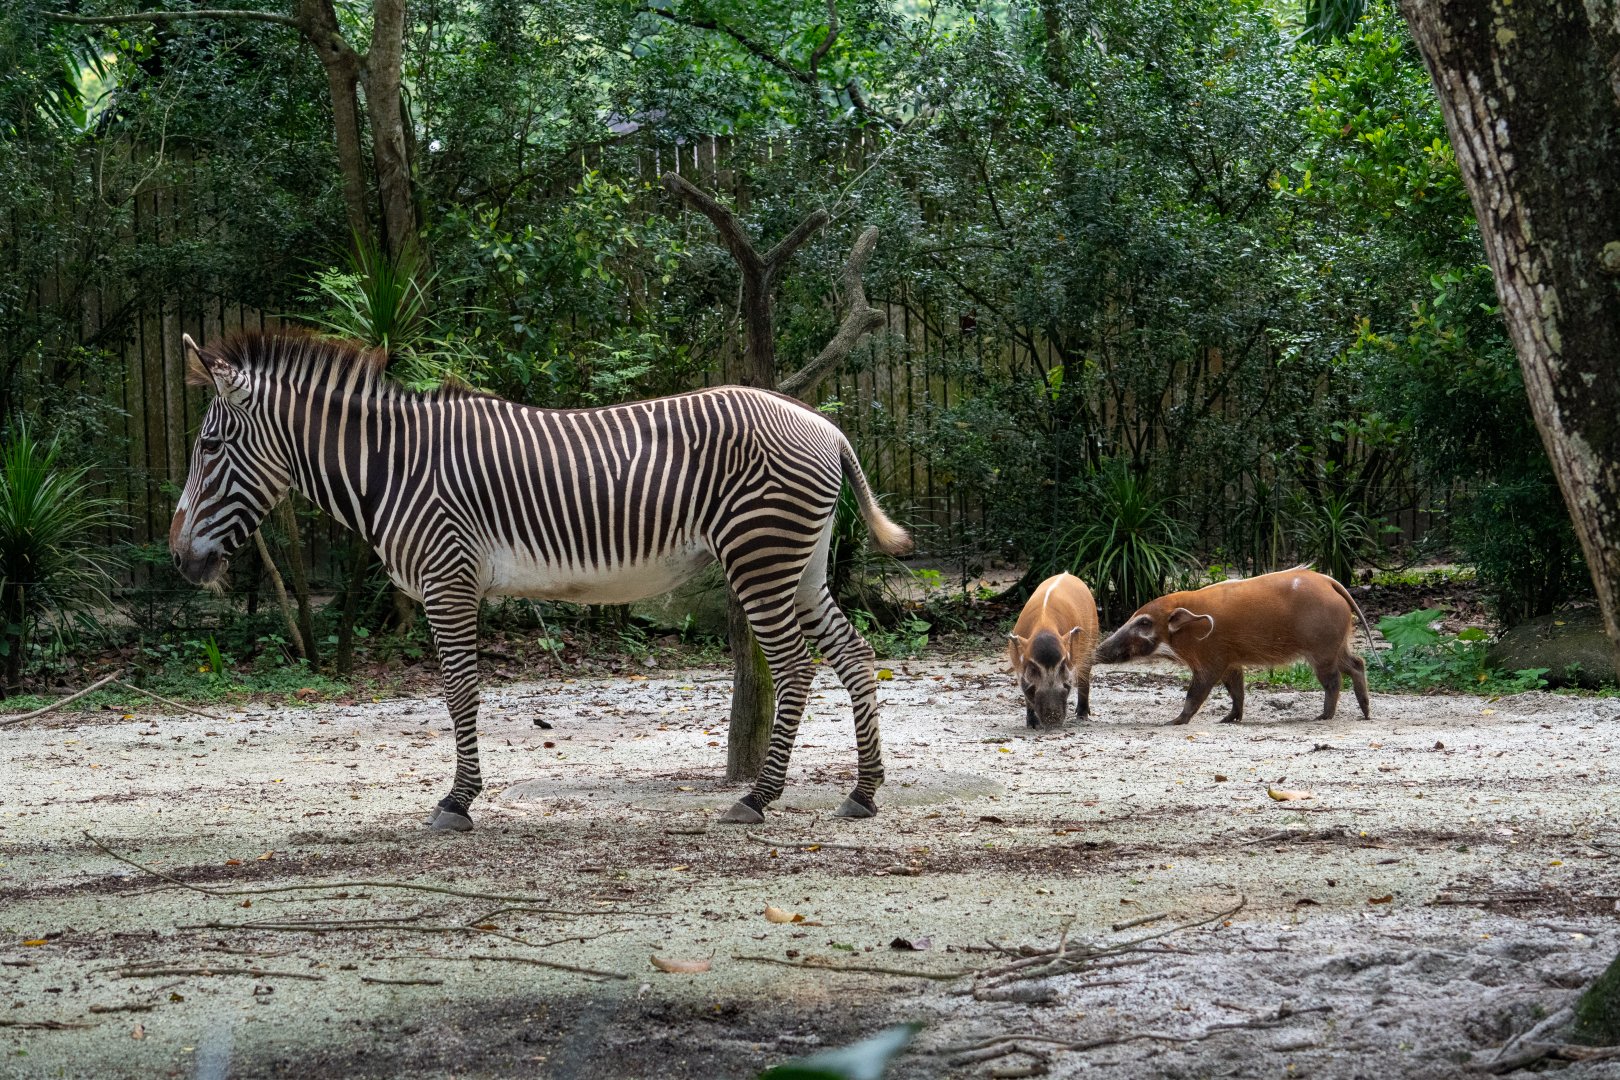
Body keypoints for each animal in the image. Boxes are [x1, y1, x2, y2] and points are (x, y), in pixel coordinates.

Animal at [168, 329, 911, 831]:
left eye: (209, 446)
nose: (178, 560)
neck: (392, 467)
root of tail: (826, 427)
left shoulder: (448, 578)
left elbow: (459, 694)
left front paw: (458, 800)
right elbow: (462, 695)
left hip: (761, 555)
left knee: (795, 667)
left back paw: (759, 797)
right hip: (800, 564)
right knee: (854, 655)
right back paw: (863, 792)